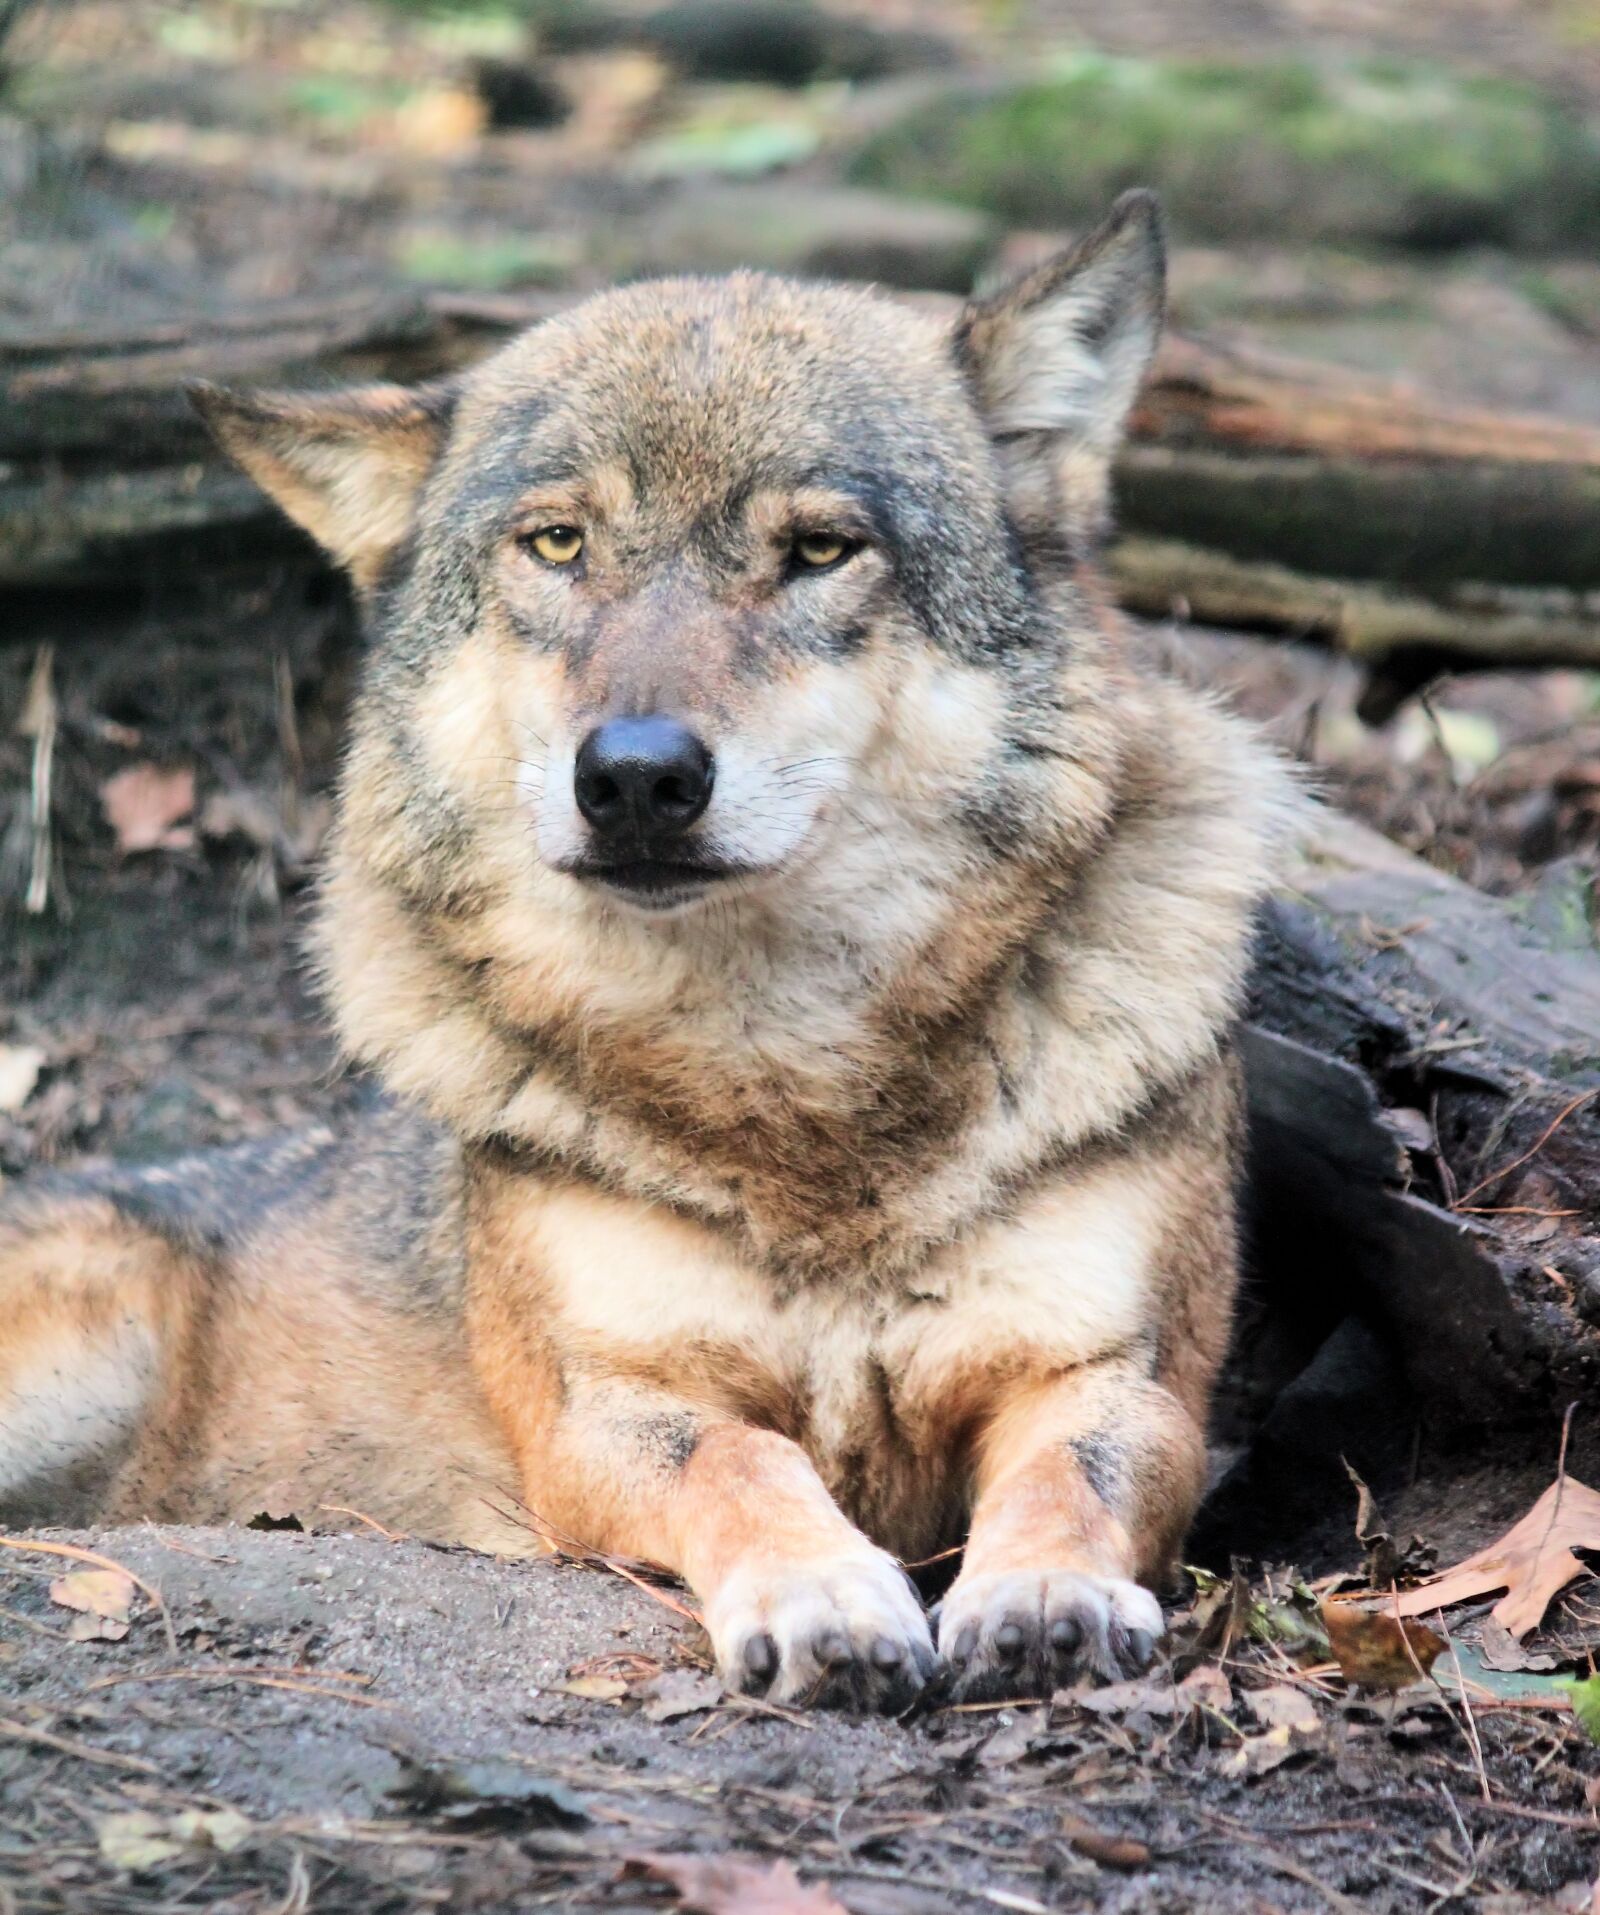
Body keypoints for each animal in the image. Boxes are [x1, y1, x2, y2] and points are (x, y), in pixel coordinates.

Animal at [0, 192, 1293, 1709]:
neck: (788, 1080)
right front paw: (823, 1596)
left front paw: (1043, 1592)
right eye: (558, 544)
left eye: (818, 549)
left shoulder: (1119, 1376)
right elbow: (745, 1455)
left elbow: (1068, 1477)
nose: (631, 778)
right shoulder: (601, 1405)